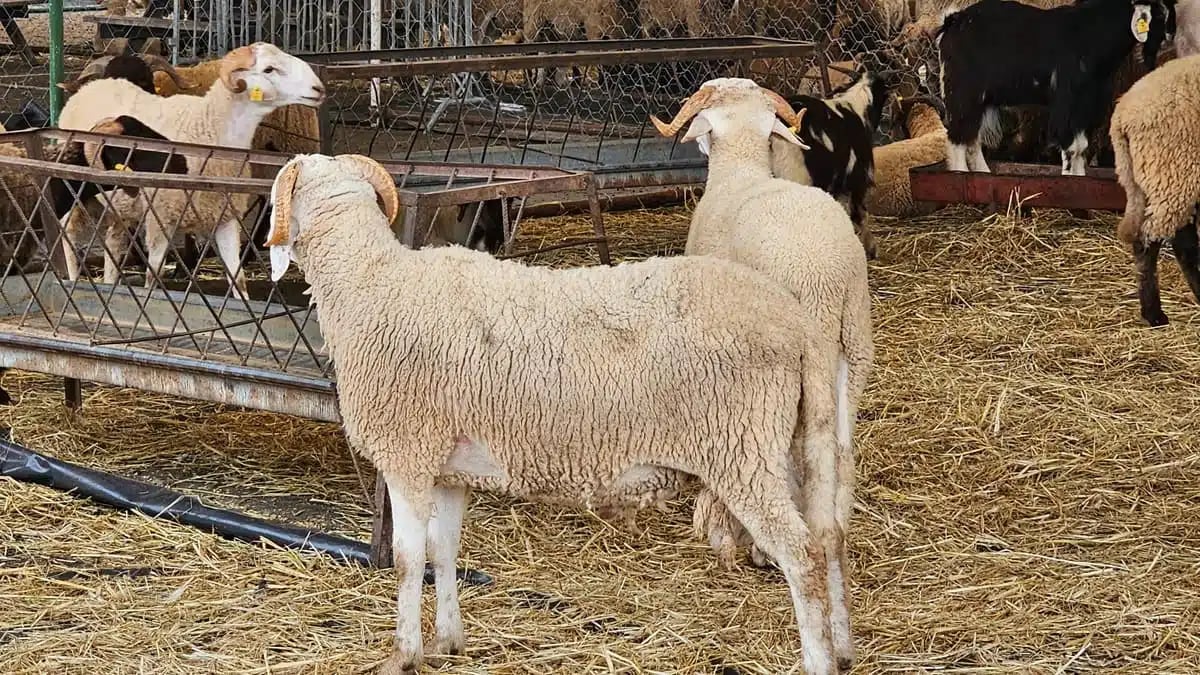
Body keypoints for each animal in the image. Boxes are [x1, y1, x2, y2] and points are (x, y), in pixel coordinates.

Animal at [55, 42, 326, 299]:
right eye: (268, 69)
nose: (318, 89)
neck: (205, 127)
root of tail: (92, 88)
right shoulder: (161, 218)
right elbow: (153, 277)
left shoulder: (225, 216)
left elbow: (238, 280)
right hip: (74, 189)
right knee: (69, 233)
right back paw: (73, 280)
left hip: (119, 202)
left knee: (113, 240)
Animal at [264, 151, 844, 675]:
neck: (368, 284)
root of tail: (796, 323)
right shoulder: (451, 469)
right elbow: (444, 551)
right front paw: (450, 642)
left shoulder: (409, 456)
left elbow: (408, 562)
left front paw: (403, 655)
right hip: (791, 441)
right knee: (829, 537)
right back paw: (843, 648)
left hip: (741, 448)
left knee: (802, 556)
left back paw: (818, 660)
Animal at [935, 0, 1175, 176]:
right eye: (1158, 14)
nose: (1170, 37)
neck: (1090, 37)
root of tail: (954, 21)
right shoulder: (1066, 103)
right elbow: (1072, 147)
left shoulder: (1088, 105)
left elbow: (1082, 147)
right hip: (962, 93)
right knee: (957, 136)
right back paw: (961, 176)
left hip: (981, 99)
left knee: (971, 137)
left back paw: (982, 174)